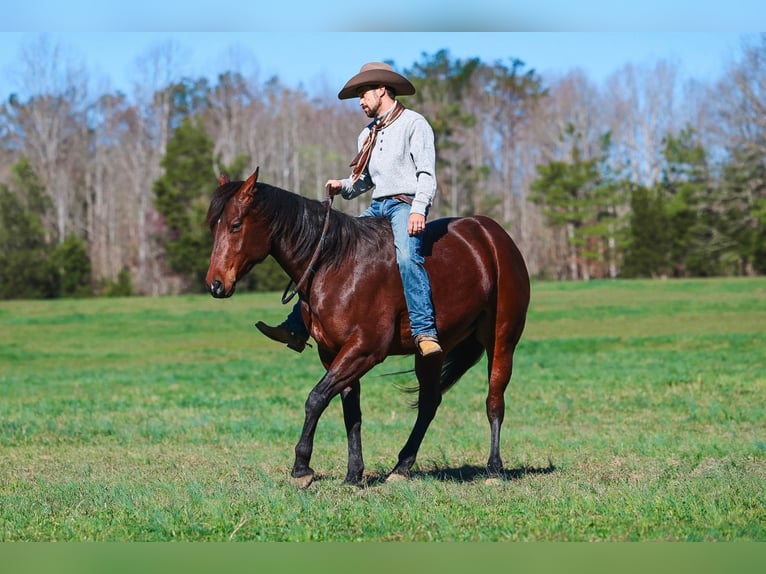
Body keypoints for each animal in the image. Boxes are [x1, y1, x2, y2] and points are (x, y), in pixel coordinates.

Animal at [205, 168, 530, 488]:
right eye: (213, 227)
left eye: (235, 225)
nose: (215, 284)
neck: (336, 264)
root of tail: (492, 235)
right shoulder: (333, 352)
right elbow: (351, 411)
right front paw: (353, 474)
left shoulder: (364, 350)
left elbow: (316, 399)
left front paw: (302, 468)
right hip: (432, 351)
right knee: (429, 402)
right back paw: (402, 466)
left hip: (502, 341)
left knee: (494, 400)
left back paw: (494, 469)